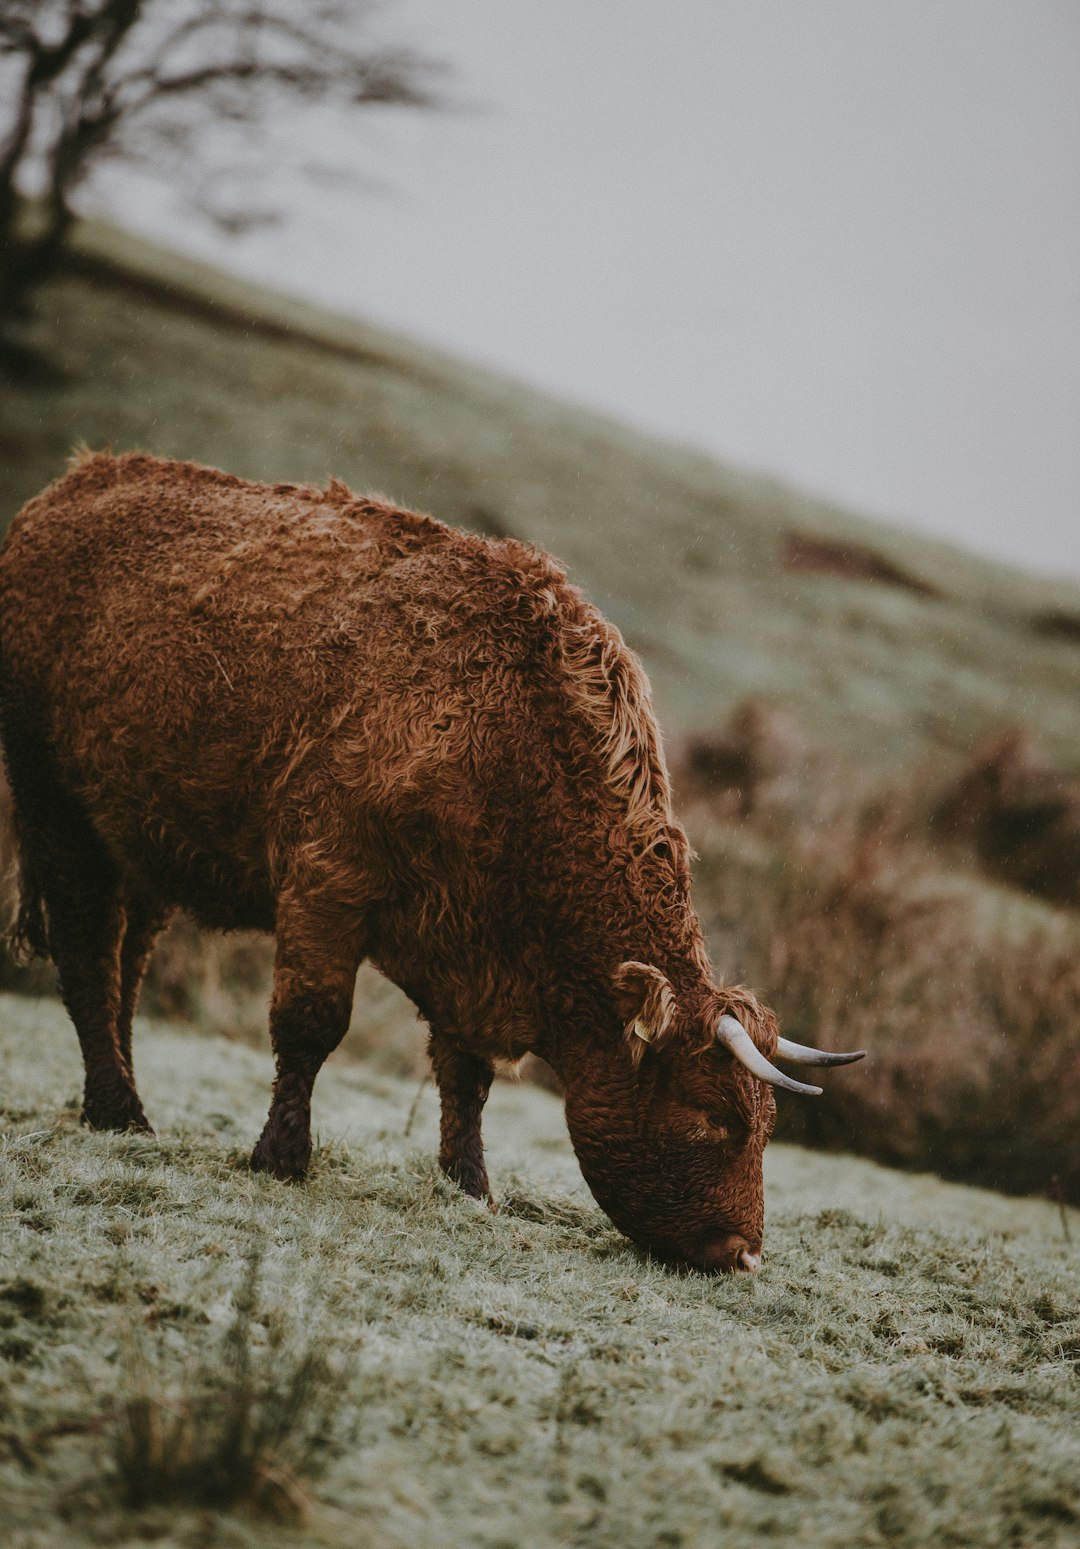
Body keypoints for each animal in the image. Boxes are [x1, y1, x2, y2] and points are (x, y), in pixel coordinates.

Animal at [0, 452, 861, 1270]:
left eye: (767, 1124)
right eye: (710, 1116)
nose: (744, 1253)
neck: (503, 732)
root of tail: (75, 484)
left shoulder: (466, 943)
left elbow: (466, 1072)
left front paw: (470, 1182)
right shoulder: (327, 878)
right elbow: (310, 1023)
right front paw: (281, 1156)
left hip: (140, 839)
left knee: (126, 962)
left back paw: (119, 1102)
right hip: (55, 808)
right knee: (86, 953)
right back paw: (117, 1109)